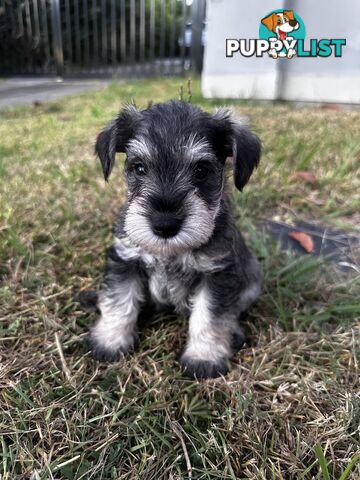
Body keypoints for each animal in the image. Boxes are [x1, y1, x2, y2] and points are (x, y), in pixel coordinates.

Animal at [88, 100, 260, 378]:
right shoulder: (125, 260)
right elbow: (119, 301)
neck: (169, 253)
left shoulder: (217, 274)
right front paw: (110, 341)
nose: (164, 224)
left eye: (201, 170)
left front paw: (204, 357)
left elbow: (209, 316)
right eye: (139, 167)